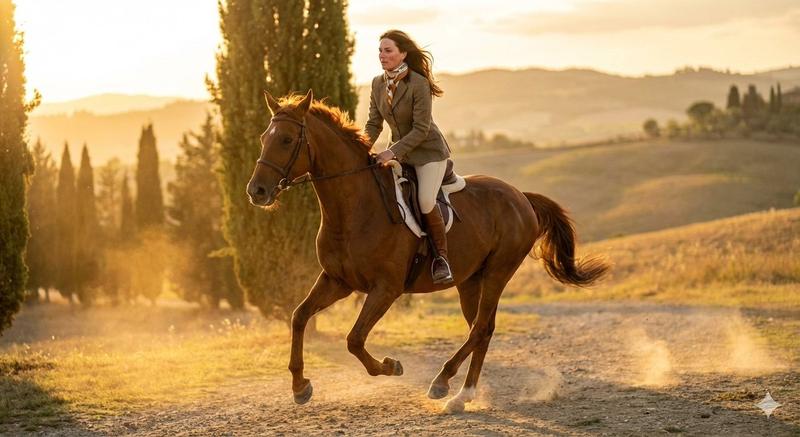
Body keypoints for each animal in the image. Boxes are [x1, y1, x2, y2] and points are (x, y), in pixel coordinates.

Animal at [246, 90, 608, 411]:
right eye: (264, 137)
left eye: (286, 140)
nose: (256, 191)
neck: (354, 209)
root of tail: (520, 196)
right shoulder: (338, 281)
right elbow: (299, 317)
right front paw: (300, 387)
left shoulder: (386, 288)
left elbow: (354, 339)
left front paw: (391, 366)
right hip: (470, 280)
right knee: (482, 330)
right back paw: (463, 395)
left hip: (498, 272)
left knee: (480, 328)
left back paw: (444, 384)